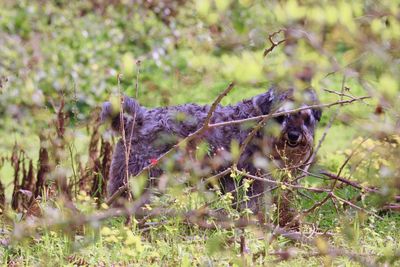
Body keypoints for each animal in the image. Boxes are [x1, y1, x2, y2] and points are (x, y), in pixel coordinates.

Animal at [101, 88, 322, 211]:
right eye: (281, 116)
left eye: (305, 116)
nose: (293, 136)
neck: (257, 125)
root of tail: (136, 119)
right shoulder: (244, 179)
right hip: (136, 177)